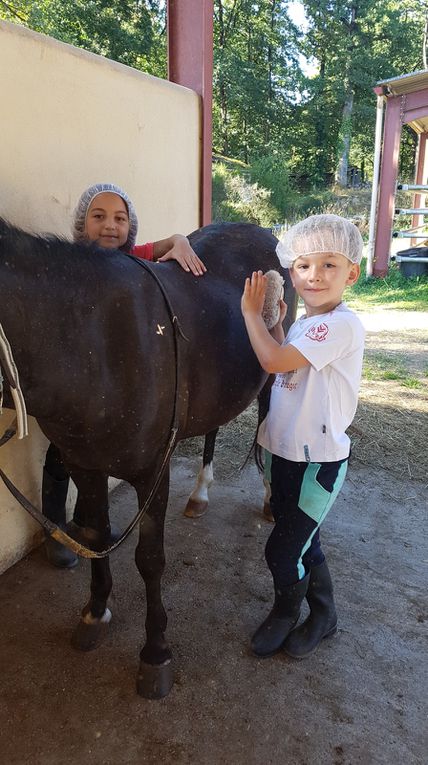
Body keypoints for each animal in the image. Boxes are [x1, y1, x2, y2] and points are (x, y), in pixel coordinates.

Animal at [0, 218, 294, 696]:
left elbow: (150, 560)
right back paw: (200, 494)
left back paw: (269, 499)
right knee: (212, 429)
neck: (94, 343)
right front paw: (95, 612)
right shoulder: (85, 466)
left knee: (271, 420)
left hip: (271, 374)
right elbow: (96, 537)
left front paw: (155, 653)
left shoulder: (152, 473)